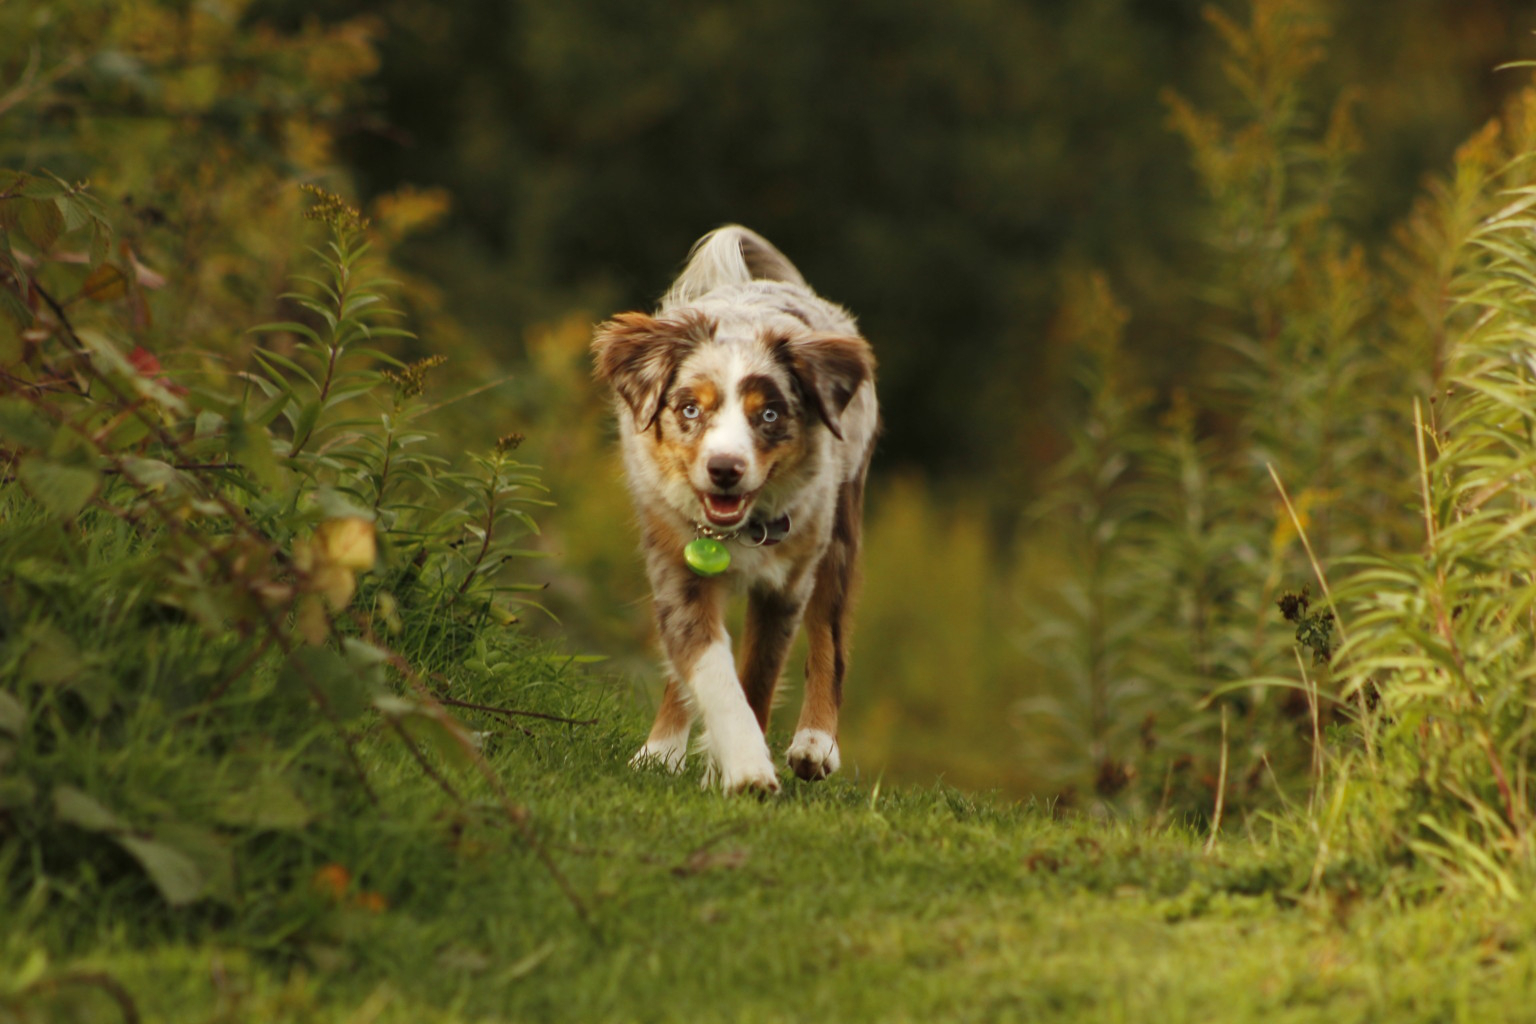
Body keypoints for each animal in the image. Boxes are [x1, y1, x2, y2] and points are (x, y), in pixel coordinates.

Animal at [589, 228, 878, 798]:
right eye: (689, 409)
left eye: (768, 414)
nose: (725, 469)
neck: (732, 535)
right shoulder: (677, 570)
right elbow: (711, 672)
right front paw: (740, 766)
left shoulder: (787, 585)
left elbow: (758, 679)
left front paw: (740, 769)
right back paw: (660, 752)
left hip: (840, 528)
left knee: (830, 637)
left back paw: (815, 744)